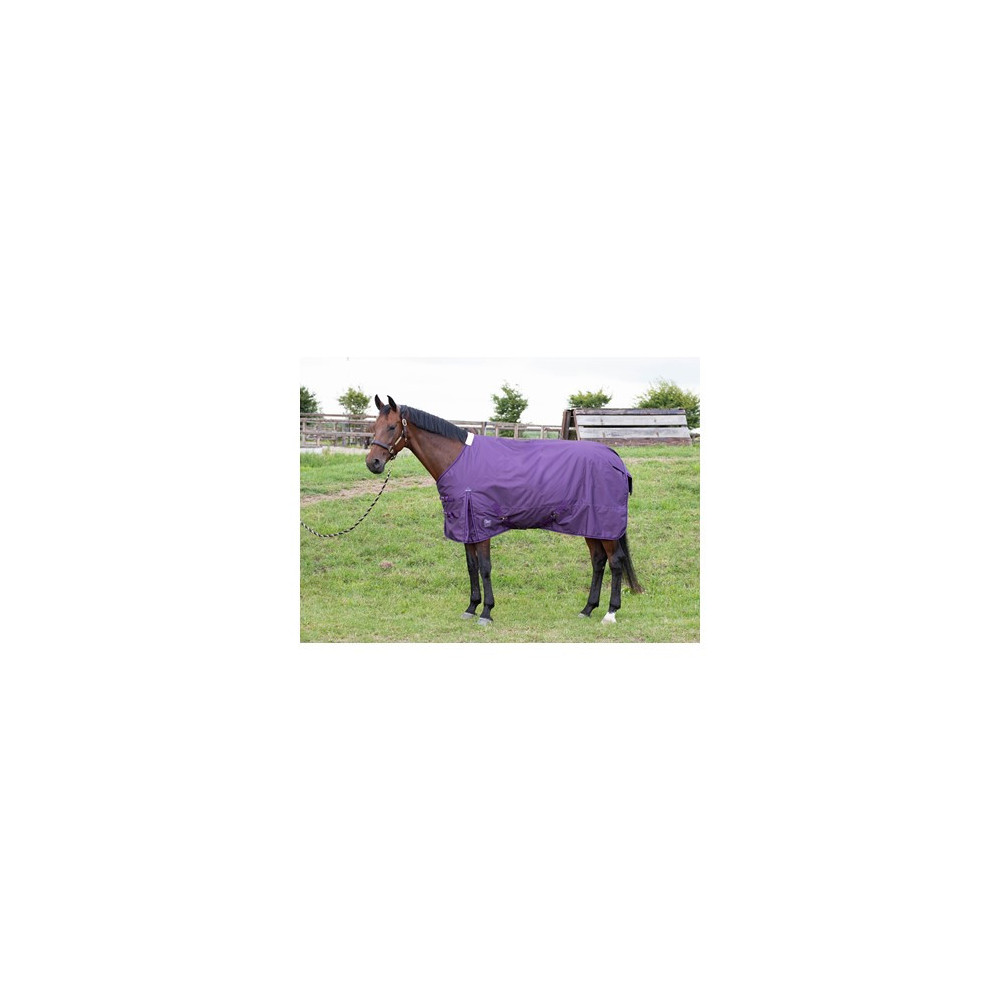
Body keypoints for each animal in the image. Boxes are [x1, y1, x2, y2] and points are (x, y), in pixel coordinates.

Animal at [365, 395, 643, 625]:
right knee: (598, 561)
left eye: (392, 427)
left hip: (605, 525)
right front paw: (471, 608)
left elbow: (485, 567)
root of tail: (614, 457)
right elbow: (471, 566)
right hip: (591, 524)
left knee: (615, 562)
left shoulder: (482, 525)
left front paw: (486, 612)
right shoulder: (467, 527)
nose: (373, 463)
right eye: (373, 427)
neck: (458, 460)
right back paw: (587, 609)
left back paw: (610, 613)